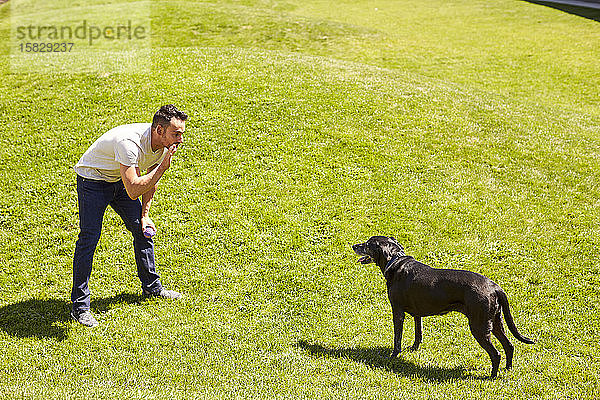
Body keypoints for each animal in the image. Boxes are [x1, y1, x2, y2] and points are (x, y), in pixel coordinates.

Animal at [352, 236, 536, 376]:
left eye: (367, 244)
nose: (354, 245)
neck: (396, 262)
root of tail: (495, 287)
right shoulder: (417, 313)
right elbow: (418, 333)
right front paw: (414, 349)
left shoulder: (397, 311)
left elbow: (397, 338)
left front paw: (393, 356)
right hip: (495, 323)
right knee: (509, 346)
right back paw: (507, 370)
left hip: (479, 326)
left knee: (496, 354)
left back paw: (491, 376)